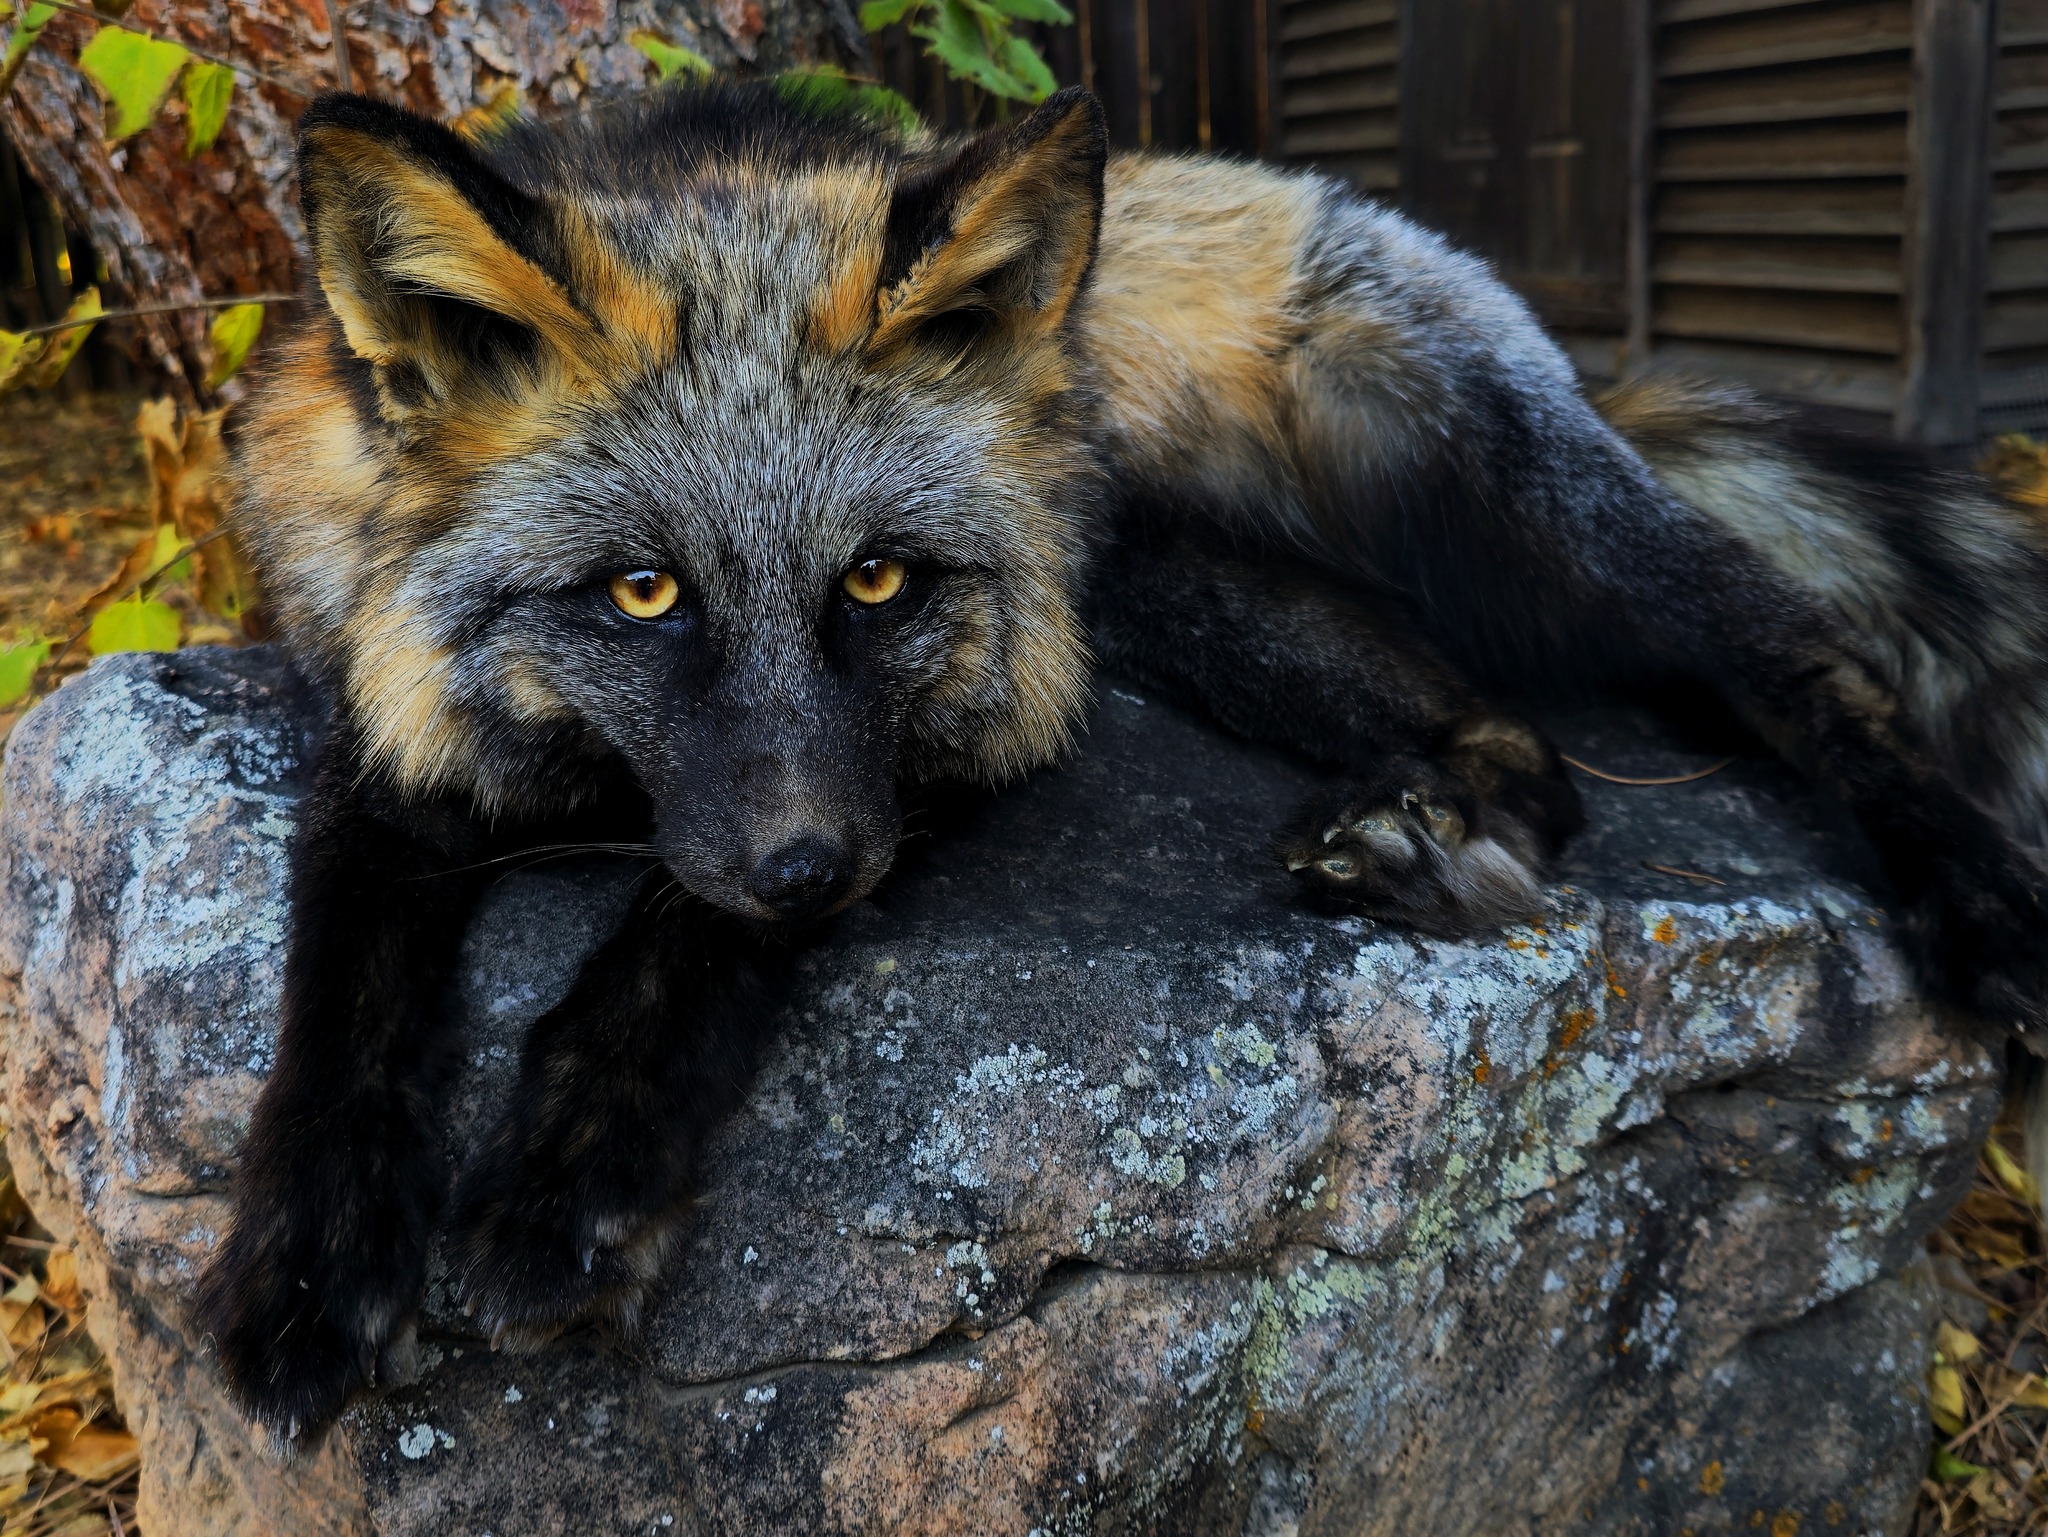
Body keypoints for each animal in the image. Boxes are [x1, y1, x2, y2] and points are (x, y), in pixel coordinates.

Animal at [197, 77, 2048, 1443]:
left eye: (877, 583)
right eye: (642, 593)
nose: (812, 869)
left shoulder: (982, 707)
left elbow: (681, 938)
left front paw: (573, 1173)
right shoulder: (384, 706)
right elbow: (340, 980)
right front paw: (306, 1263)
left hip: (1469, 492)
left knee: (1795, 655)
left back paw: (1969, 900)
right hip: (1172, 586)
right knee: (1522, 743)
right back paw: (1428, 820)